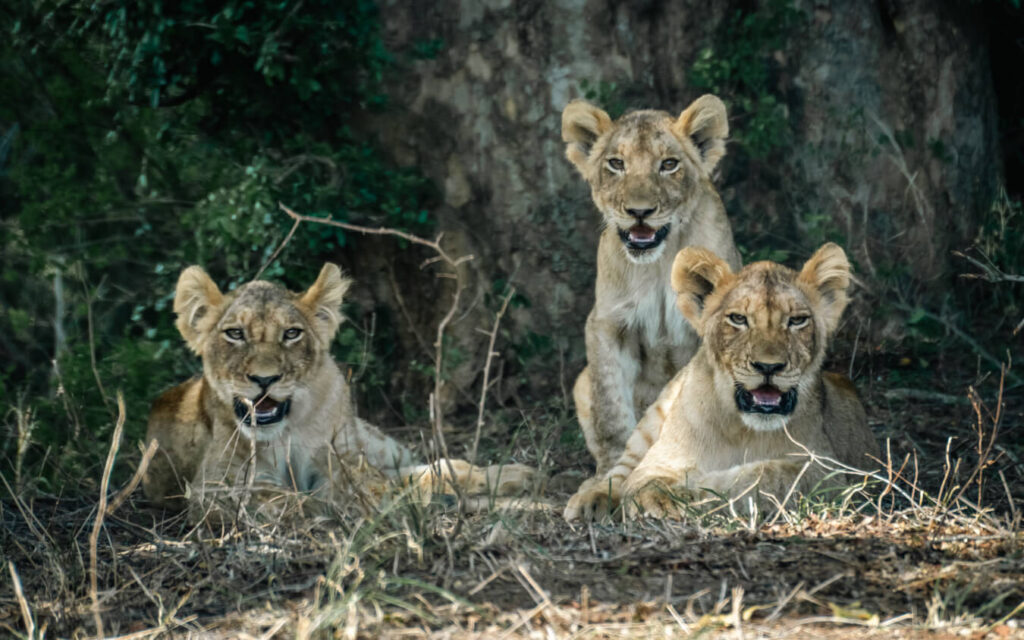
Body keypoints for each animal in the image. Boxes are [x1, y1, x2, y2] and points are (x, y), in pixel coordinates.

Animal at [142, 263, 536, 521]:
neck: (288, 431)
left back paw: (515, 476)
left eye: (291, 334)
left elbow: (388, 483)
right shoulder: (214, 487)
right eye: (235, 334)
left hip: (378, 444)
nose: (265, 379)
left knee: (438, 465)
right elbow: (289, 500)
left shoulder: (344, 460)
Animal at [562, 95, 742, 476]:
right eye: (616, 164)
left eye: (668, 164)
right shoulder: (605, 323)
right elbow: (610, 406)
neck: (658, 263)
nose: (639, 212)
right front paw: (609, 473)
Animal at [564, 243, 880, 520]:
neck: (743, 429)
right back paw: (591, 499)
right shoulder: (658, 461)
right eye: (738, 319)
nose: (768, 366)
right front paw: (659, 495)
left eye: (797, 320)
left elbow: (759, 478)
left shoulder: (828, 472)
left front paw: (681, 493)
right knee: (620, 468)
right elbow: (642, 478)